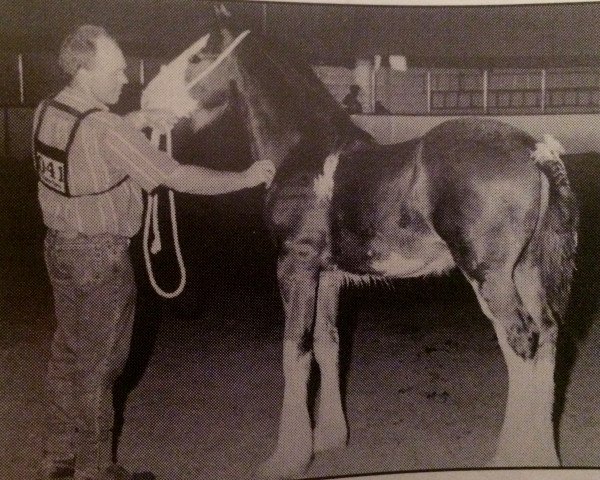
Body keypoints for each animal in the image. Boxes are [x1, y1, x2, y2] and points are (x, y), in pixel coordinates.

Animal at [143, 21, 580, 476]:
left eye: (197, 56)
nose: (145, 102)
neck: (305, 152)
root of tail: (535, 152)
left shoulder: (295, 265)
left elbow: (294, 351)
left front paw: (288, 457)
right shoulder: (330, 275)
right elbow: (327, 343)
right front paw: (329, 438)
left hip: (489, 275)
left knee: (520, 342)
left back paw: (511, 455)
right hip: (525, 270)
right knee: (547, 336)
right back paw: (541, 455)